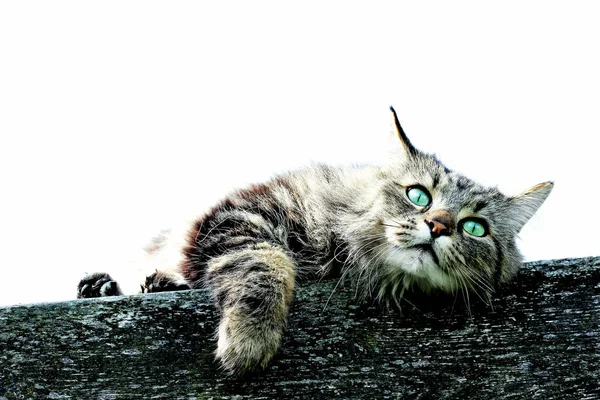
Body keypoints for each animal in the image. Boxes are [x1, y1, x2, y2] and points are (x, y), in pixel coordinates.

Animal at [77, 107, 556, 376]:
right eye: (418, 195)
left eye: (475, 227)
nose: (437, 226)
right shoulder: (242, 216)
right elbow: (265, 265)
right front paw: (248, 343)